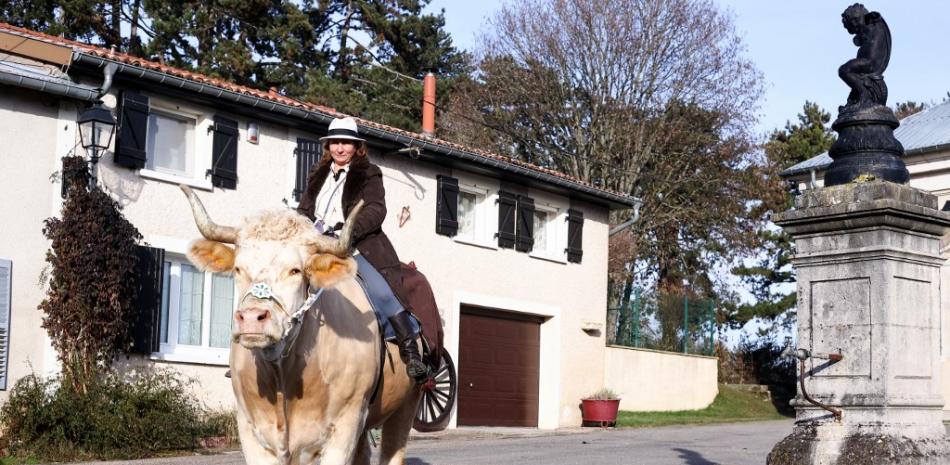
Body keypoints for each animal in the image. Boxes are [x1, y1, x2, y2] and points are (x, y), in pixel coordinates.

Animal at [184, 186, 422, 464]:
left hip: (406, 405)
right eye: (238, 269)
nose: (252, 317)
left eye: (295, 270)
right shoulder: (249, 428)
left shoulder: (346, 425)